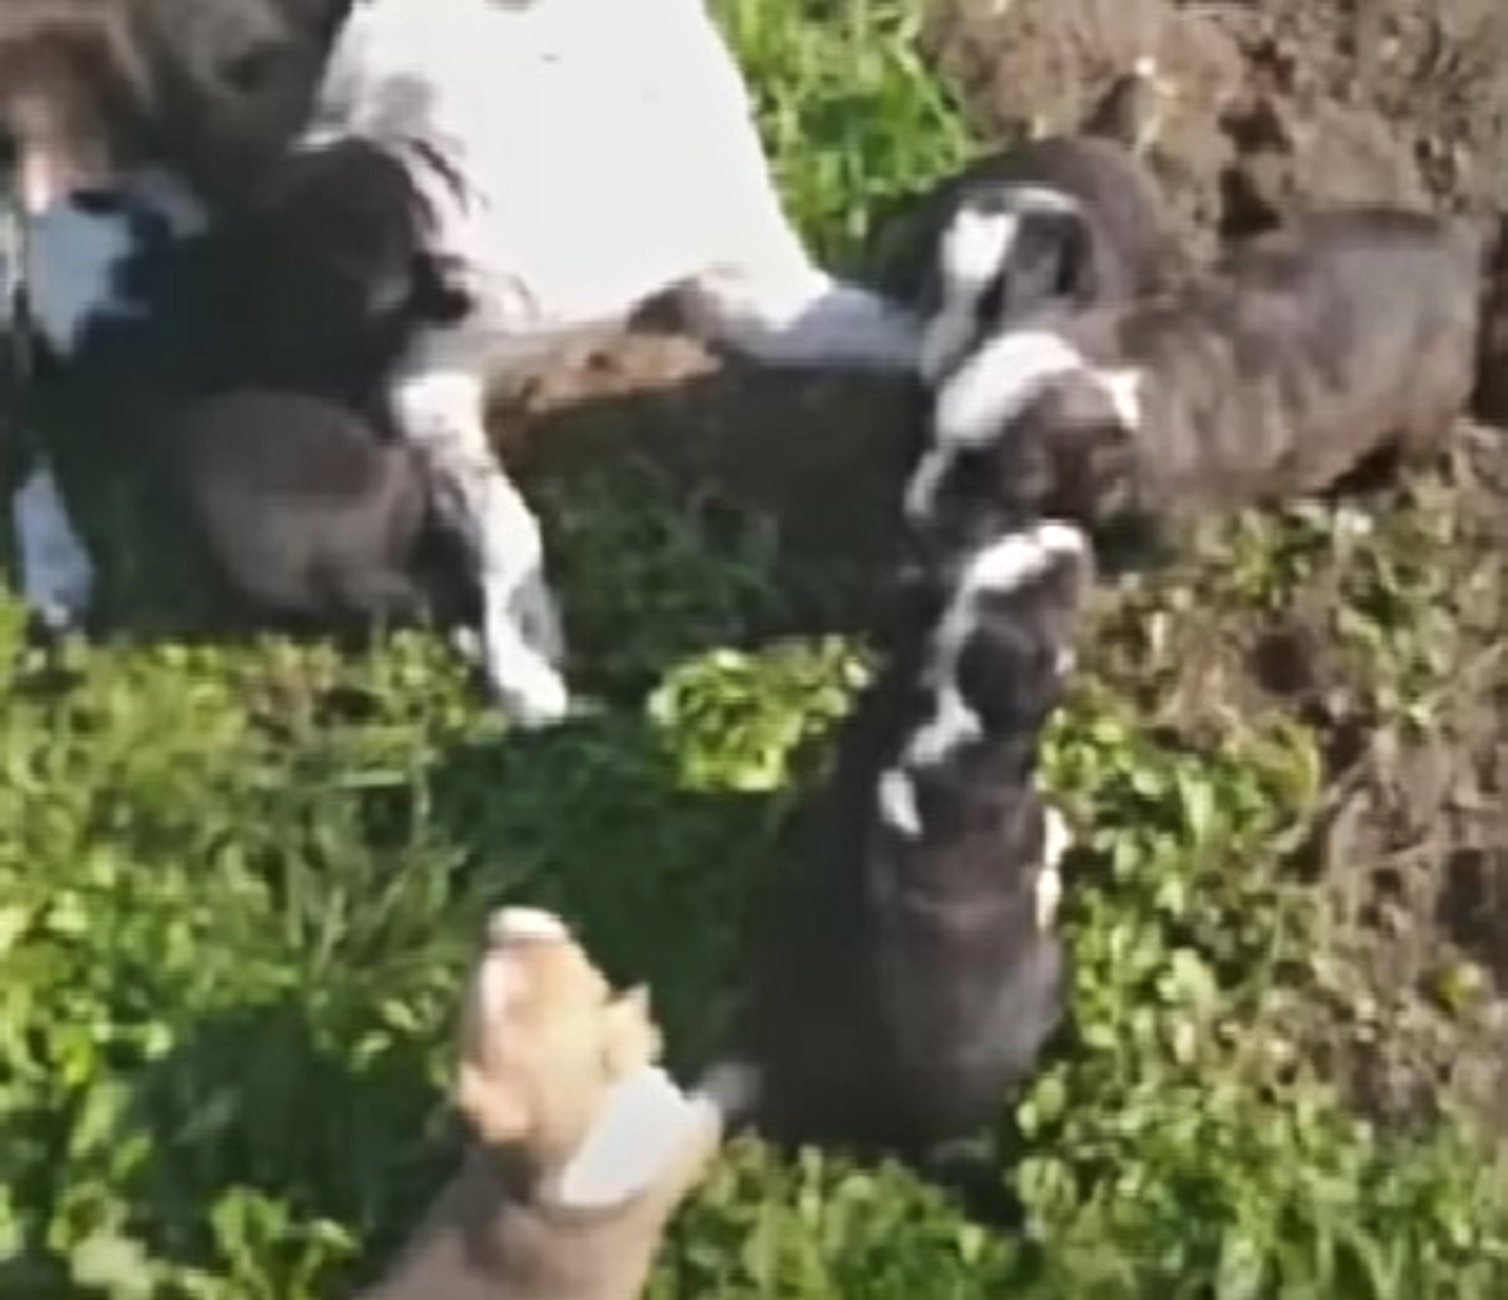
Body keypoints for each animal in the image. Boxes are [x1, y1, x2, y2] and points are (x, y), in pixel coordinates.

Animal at [898, 206, 1489, 561]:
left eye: (1014, 480)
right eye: (933, 429)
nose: (915, 512)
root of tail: (1459, 242)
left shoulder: (1170, 527)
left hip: (1423, 407)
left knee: (1404, 465)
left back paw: (1359, 513)